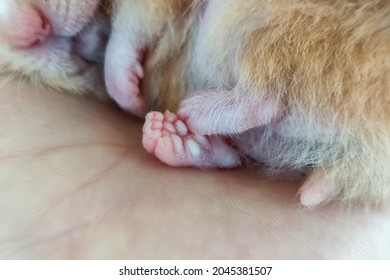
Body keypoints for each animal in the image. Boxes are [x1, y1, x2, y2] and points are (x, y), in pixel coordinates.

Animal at [105, 0, 388, 207]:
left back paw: (192, 110)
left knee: (268, 98)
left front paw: (130, 98)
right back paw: (175, 137)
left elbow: (130, 29)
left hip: (290, 25)